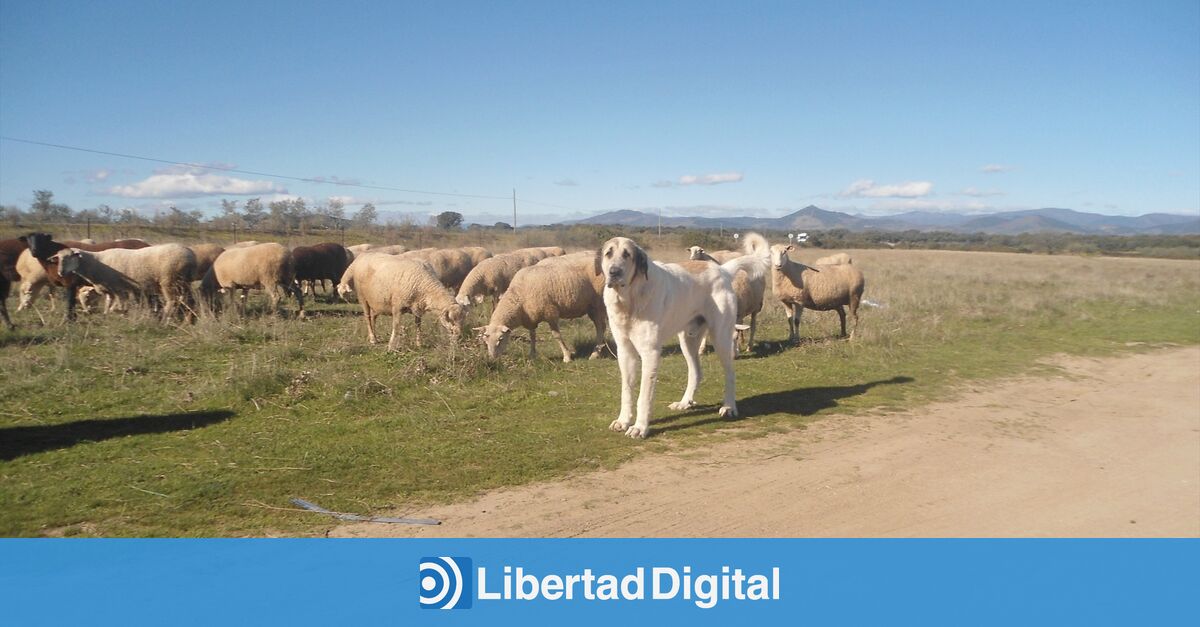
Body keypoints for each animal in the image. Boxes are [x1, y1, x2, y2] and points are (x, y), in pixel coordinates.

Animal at [51, 242, 196, 319]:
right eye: (58, 259)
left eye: (71, 257)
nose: (60, 272)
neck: (96, 262)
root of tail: (190, 255)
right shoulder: (110, 289)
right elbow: (108, 303)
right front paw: (108, 314)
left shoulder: (119, 288)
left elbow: (119, 304)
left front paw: (120, 312)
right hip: (183, 282)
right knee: (188, 300)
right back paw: (188, 318)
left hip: (169, 280)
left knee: (172, 301)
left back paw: (165, 317)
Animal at [340, 254, 470, 350]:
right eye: (451, 319)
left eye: (463, 320)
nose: (458, 337)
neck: (425, 285)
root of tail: (362, 257)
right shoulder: (397, 306)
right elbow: (396, 325)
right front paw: (392, 346)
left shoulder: (418, 307)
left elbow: (418, 324)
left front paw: (419, 343)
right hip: (363, 298)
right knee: (367, 317)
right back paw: (372, 339)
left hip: (376, 301)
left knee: (373, 317)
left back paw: (376, 337)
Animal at [475, 251, 609, 360]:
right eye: (485, 341)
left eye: (501, 339)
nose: (492, 359)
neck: (519, 295)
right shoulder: (530, 318)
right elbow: (532, 336)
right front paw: (532, 355)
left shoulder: (550, 312)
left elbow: (556, 336)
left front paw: (567, 356)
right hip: (591, 306)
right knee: (600, 326)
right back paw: (601, 348)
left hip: (598, 304)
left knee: (601, 327)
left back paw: (595, 353)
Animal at [600, 234, 768, 434]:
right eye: (608, 254)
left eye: (627, 255)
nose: (614, 272)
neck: (629, 298)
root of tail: (722, 270)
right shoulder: (625, 351)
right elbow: (626, 390)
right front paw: (623, 420)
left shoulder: (650, 353)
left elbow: (644, 396)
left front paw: (640, 427)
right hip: (687, 341)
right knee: (696, 372)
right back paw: (685, 402)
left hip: (720, 338)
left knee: (730, 373)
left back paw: (729, 407)